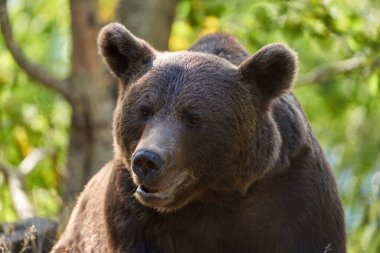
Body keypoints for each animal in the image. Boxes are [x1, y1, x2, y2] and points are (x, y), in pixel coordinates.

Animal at [52, 22, 346, 252]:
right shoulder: (132, 213)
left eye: (193, 118)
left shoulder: (294, 194)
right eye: (144, 110)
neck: (214, 193)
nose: (147, 161)